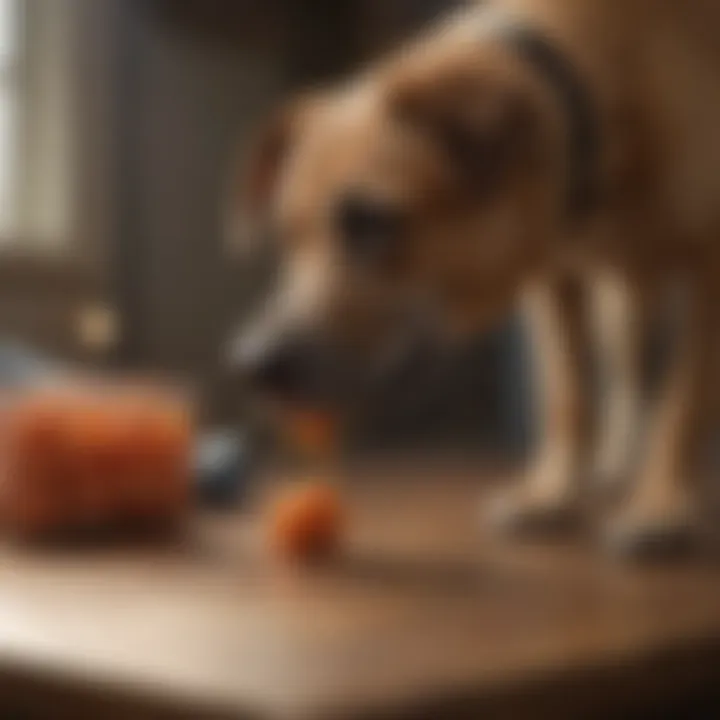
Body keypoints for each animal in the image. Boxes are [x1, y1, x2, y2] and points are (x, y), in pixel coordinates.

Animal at [228, 0, 720, 556]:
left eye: (372, 221)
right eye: (285, 236)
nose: (252, 365)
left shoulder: (710, 268)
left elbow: (685, 402)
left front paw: (664, 506)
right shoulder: (554, 279)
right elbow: (567, 390)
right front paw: (554, 493)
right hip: (621, 301)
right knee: (627, 371)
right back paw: (614, 465)